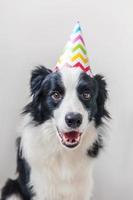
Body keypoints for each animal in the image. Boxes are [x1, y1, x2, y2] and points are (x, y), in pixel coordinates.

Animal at [0, 66, 109, 200]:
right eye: (56, 95)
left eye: (86, 94)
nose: (74, 119)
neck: (63, 152)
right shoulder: (41, 189)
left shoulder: (82, 189)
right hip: (11, 188)